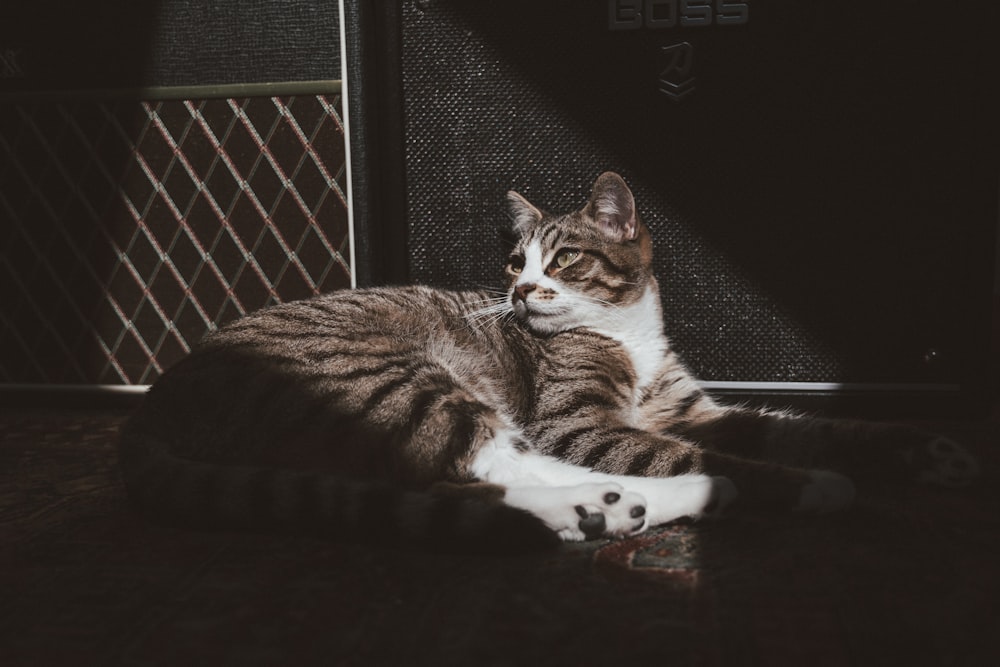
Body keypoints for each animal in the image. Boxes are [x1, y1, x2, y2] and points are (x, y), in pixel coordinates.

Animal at [115, 172, 976, 552]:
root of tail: (155, 401)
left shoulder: (684, 405)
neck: (626, 329)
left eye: (562, 260)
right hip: (385, 373)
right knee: (488, 459)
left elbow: (798, 426)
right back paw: (632, 501)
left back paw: (612, 507)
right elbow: (699, 449)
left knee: (460, 471)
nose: (523, 290)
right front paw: (814, 486)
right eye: (513, 264)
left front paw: (924, 449)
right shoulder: (578, 418)